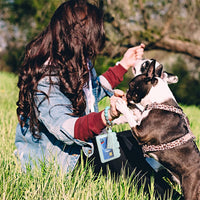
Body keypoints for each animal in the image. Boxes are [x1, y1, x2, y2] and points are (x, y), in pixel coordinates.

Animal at [115, 59, 200, 200]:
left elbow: (131, 117)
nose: (126, 92)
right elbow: (137, 114)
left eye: (131, 85)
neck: (157, 101)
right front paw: (125, 115)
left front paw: (121, 106)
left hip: (191, 190)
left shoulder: (141, 133)